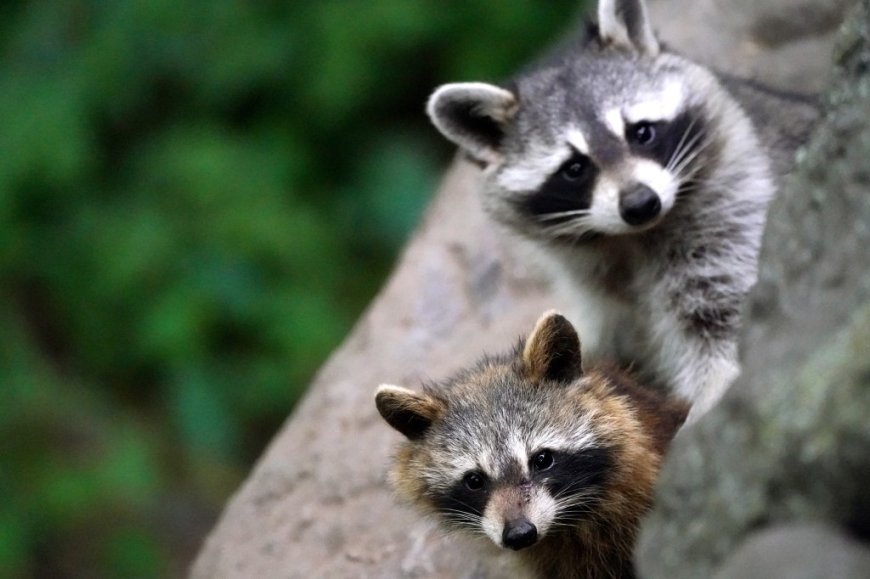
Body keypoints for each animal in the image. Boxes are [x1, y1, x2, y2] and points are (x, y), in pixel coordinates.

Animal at [426, 0, 816, 419]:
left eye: (641, 132)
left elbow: (718, 331)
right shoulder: (597, 290)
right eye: (574, 168)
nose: (641, 204)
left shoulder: (733, 219)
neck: (630, 239)